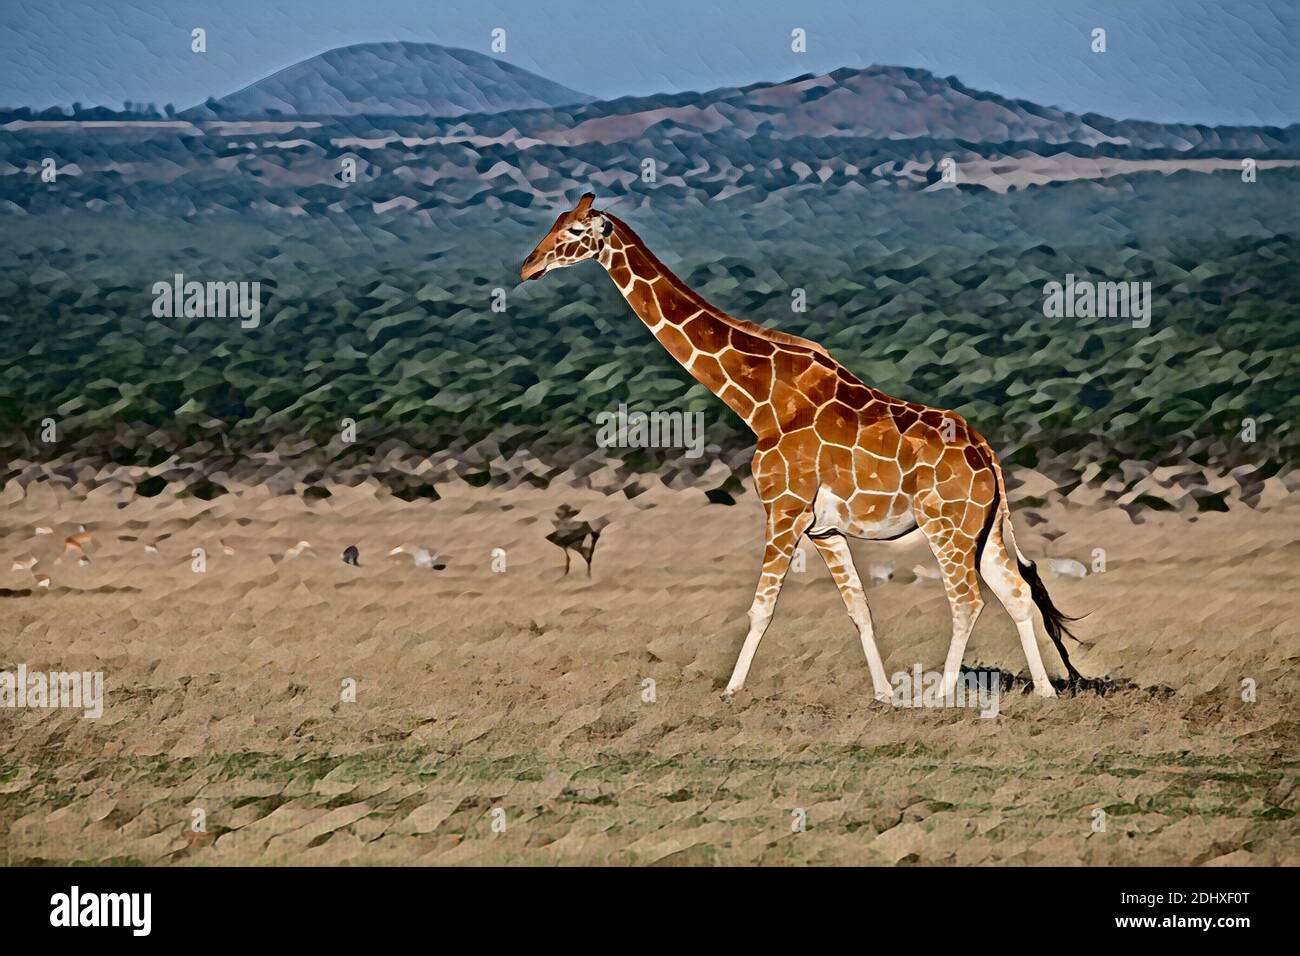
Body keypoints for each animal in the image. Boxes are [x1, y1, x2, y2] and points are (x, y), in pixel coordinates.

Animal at [521, 194, 1083, 701]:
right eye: (555, 220)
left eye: (574, 231)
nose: (529, 266)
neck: (762, 401)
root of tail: (987, 454)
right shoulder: (824, 528)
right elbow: (859, 609)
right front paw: (884, 694)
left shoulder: (784, 510)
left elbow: (761, 608)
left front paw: (730, 691)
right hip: (981, 529)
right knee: (1015, 592)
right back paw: (1044, 692)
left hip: (945, 525)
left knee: (968, 600)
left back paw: (943, 695)